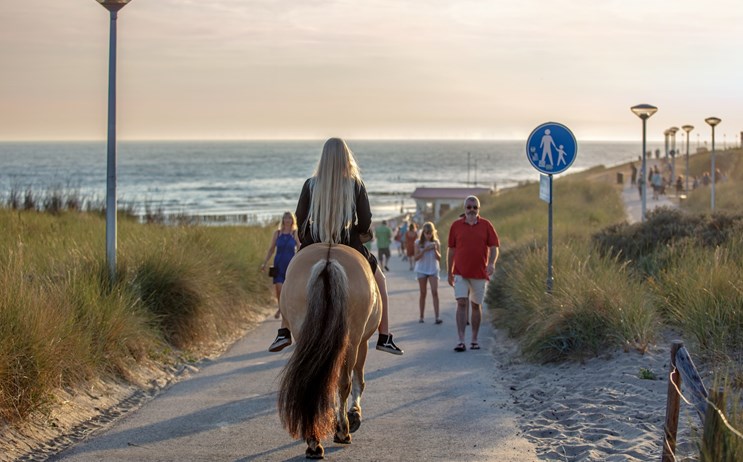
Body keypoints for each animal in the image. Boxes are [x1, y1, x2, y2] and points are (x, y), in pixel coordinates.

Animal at [278, 242, 384, 458]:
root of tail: (327, 262)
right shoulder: (362, 343)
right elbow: (358, 381)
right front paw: (353, 416)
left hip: (304, 334)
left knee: (312, 380)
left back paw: (314, 442)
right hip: (352, 340)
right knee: (344, 382)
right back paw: (343, 431)